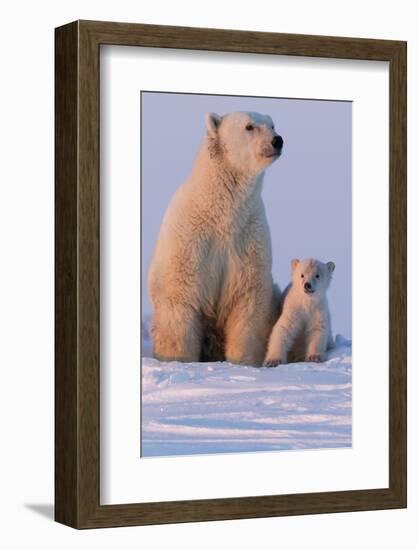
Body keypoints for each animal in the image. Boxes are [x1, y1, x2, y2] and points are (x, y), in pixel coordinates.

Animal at [146, 110, 282, 368]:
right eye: (249, 126)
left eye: (272, 125)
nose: (277, 141)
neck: (221, 213)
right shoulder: (190, 239)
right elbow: (179, 296)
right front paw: (177, 360)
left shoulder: (248, 237)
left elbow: (248, 301)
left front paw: (242, 363)